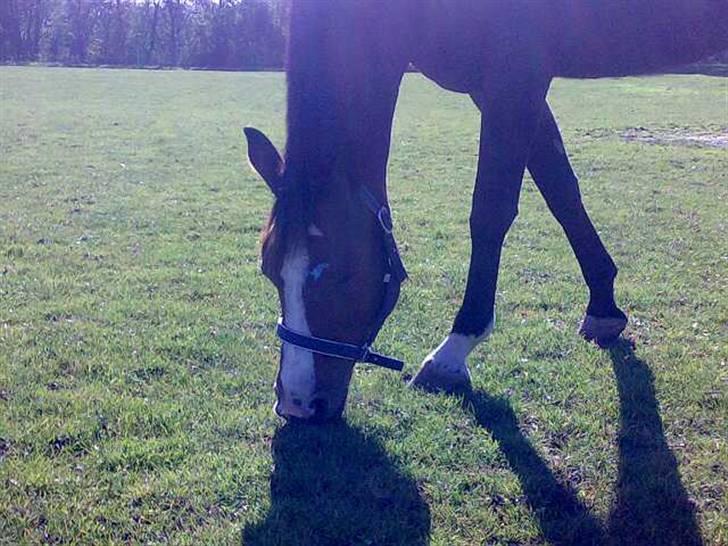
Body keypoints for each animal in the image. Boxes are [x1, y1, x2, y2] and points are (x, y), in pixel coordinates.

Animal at [246, 1, 728, 420]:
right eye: (269, 271)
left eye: (341, 275)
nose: (296, 404)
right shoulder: (498, 87)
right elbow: (561, 192)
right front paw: (604, 307)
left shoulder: (516, 78)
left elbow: (491, 212)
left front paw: (452, 354)